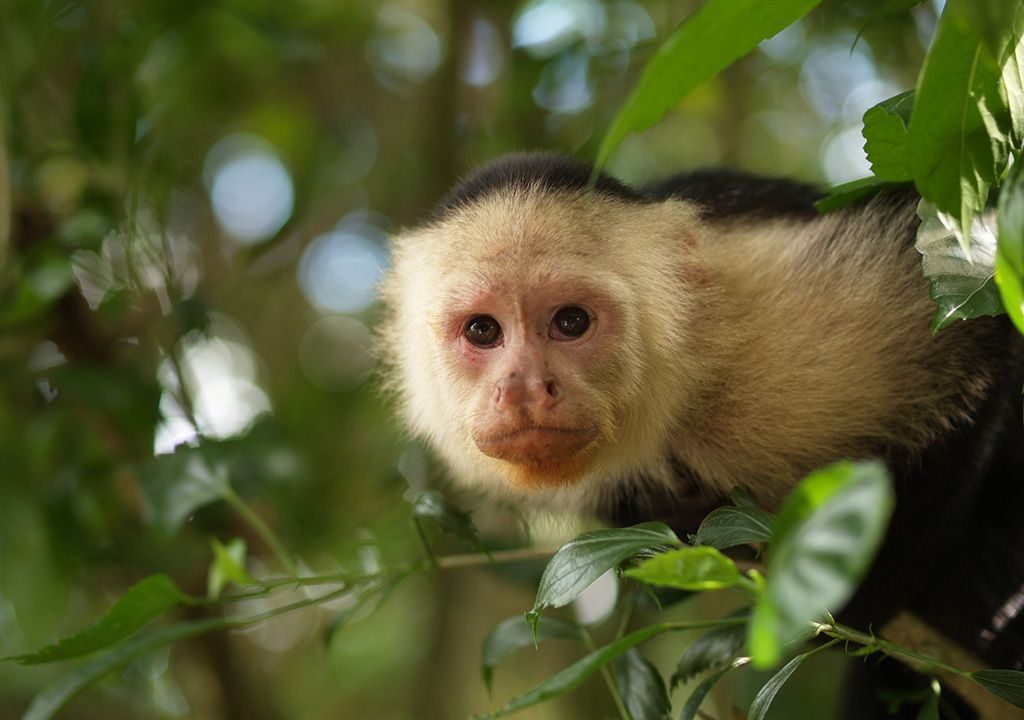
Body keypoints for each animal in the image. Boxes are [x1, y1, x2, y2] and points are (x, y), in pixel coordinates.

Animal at [377, 152, 1024, 719]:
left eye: (571, 321)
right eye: (482, 331)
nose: (525, 388)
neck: (684, 392)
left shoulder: (792, 317)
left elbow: (979, 315)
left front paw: (873, 590)